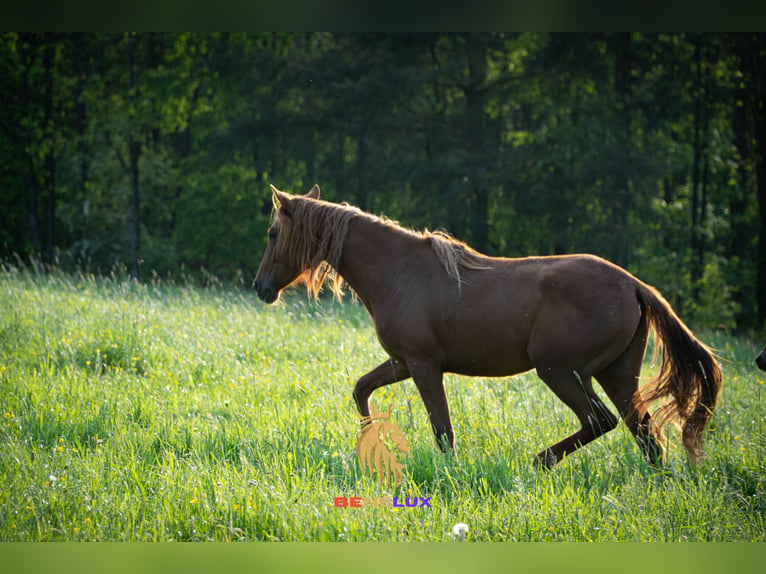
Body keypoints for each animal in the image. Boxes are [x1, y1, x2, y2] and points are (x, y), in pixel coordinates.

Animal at [254, 187, 728, 470]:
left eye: (273, 232)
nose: (260, 287)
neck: (398, 270)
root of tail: (634, 286)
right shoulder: (402, 362)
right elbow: (361, 389)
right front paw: (371, 437)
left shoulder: (424, 366)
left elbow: (443, 430)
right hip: (617, 375)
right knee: (647, 437)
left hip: (561, 371)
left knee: (601, 422)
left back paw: (537, 462)